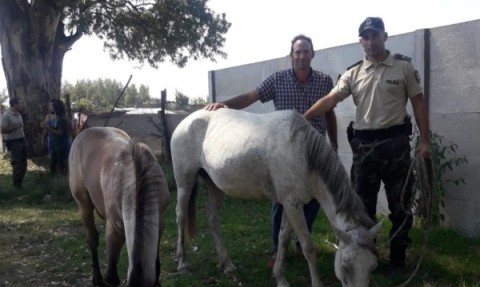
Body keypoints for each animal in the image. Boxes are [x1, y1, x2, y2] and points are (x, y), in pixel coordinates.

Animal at [69, 128, 171, 287]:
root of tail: (85, 131)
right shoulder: (115, 229)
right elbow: (111, 277)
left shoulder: (160, 222)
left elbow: (156, 266)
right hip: (83, 204)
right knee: (92, 238)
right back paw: (96, 278)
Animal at [171, 109, 380, 287]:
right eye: (345, 267)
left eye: (372, 267)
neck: (302, 153)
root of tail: (185, 121)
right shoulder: (292, 204)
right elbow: (308, 247)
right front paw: (315, 283)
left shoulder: (290, 204)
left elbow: (283, 239)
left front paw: (280, 278)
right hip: (185, 182)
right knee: (180, 216)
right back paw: (182, 263)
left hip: (215, 186)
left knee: (213, 221)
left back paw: (228, 267)